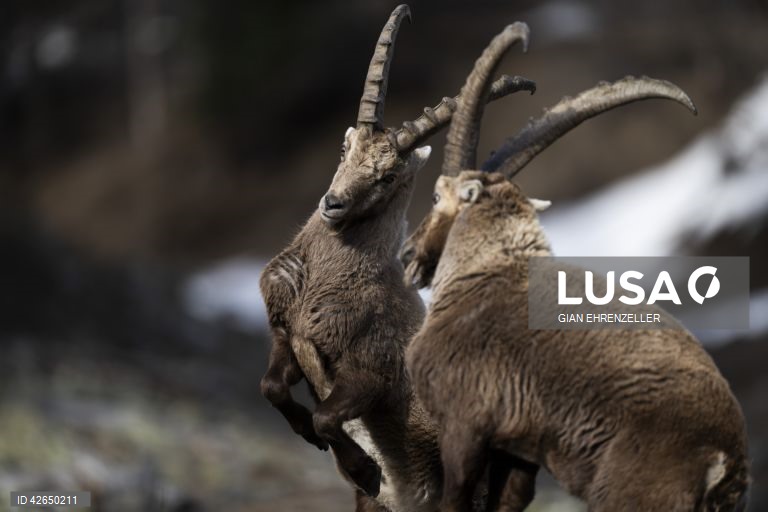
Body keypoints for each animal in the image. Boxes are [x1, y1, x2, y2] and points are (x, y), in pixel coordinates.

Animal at [259, 8, 535, 511]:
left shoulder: (374, 372)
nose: (332, 204)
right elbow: (272, 387)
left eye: (387, 176)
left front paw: (365, 468)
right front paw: (309, 435)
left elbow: (330, 416)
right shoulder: (287, 336)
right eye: (345, 149)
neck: (320, 282)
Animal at [401, 25, 749, 512]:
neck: (486, 270)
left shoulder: (463, 427)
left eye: (436, 196)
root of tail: (721, 457)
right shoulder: (519, 449)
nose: (408, 255)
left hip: (629, 494)